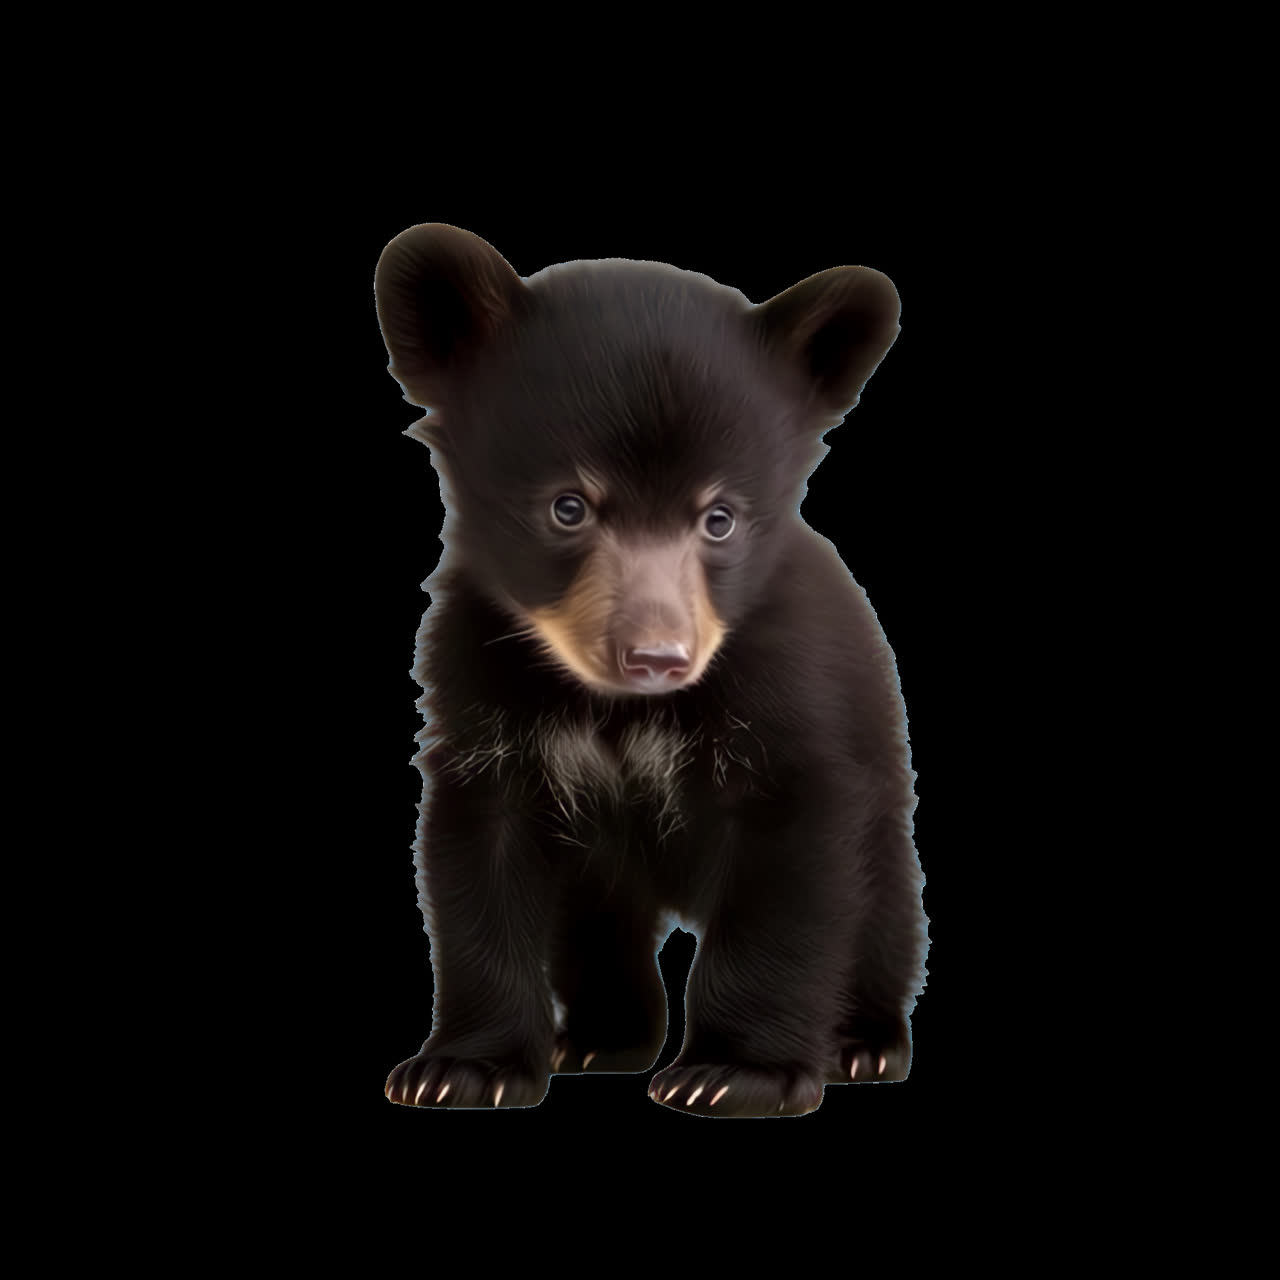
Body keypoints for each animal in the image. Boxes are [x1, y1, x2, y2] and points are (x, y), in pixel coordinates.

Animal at [374, 223, 929, 1116]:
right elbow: (477, 871)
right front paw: (461, 1068)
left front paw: (735, 1074)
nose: (657, 659)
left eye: (720, 519)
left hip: (883, 801)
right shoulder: (479, 695)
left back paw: (863, 1046)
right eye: (568, 507)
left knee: (884, 916)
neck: (616, 708)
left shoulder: (794, 713)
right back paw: (601, 1040)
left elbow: (787, 889)